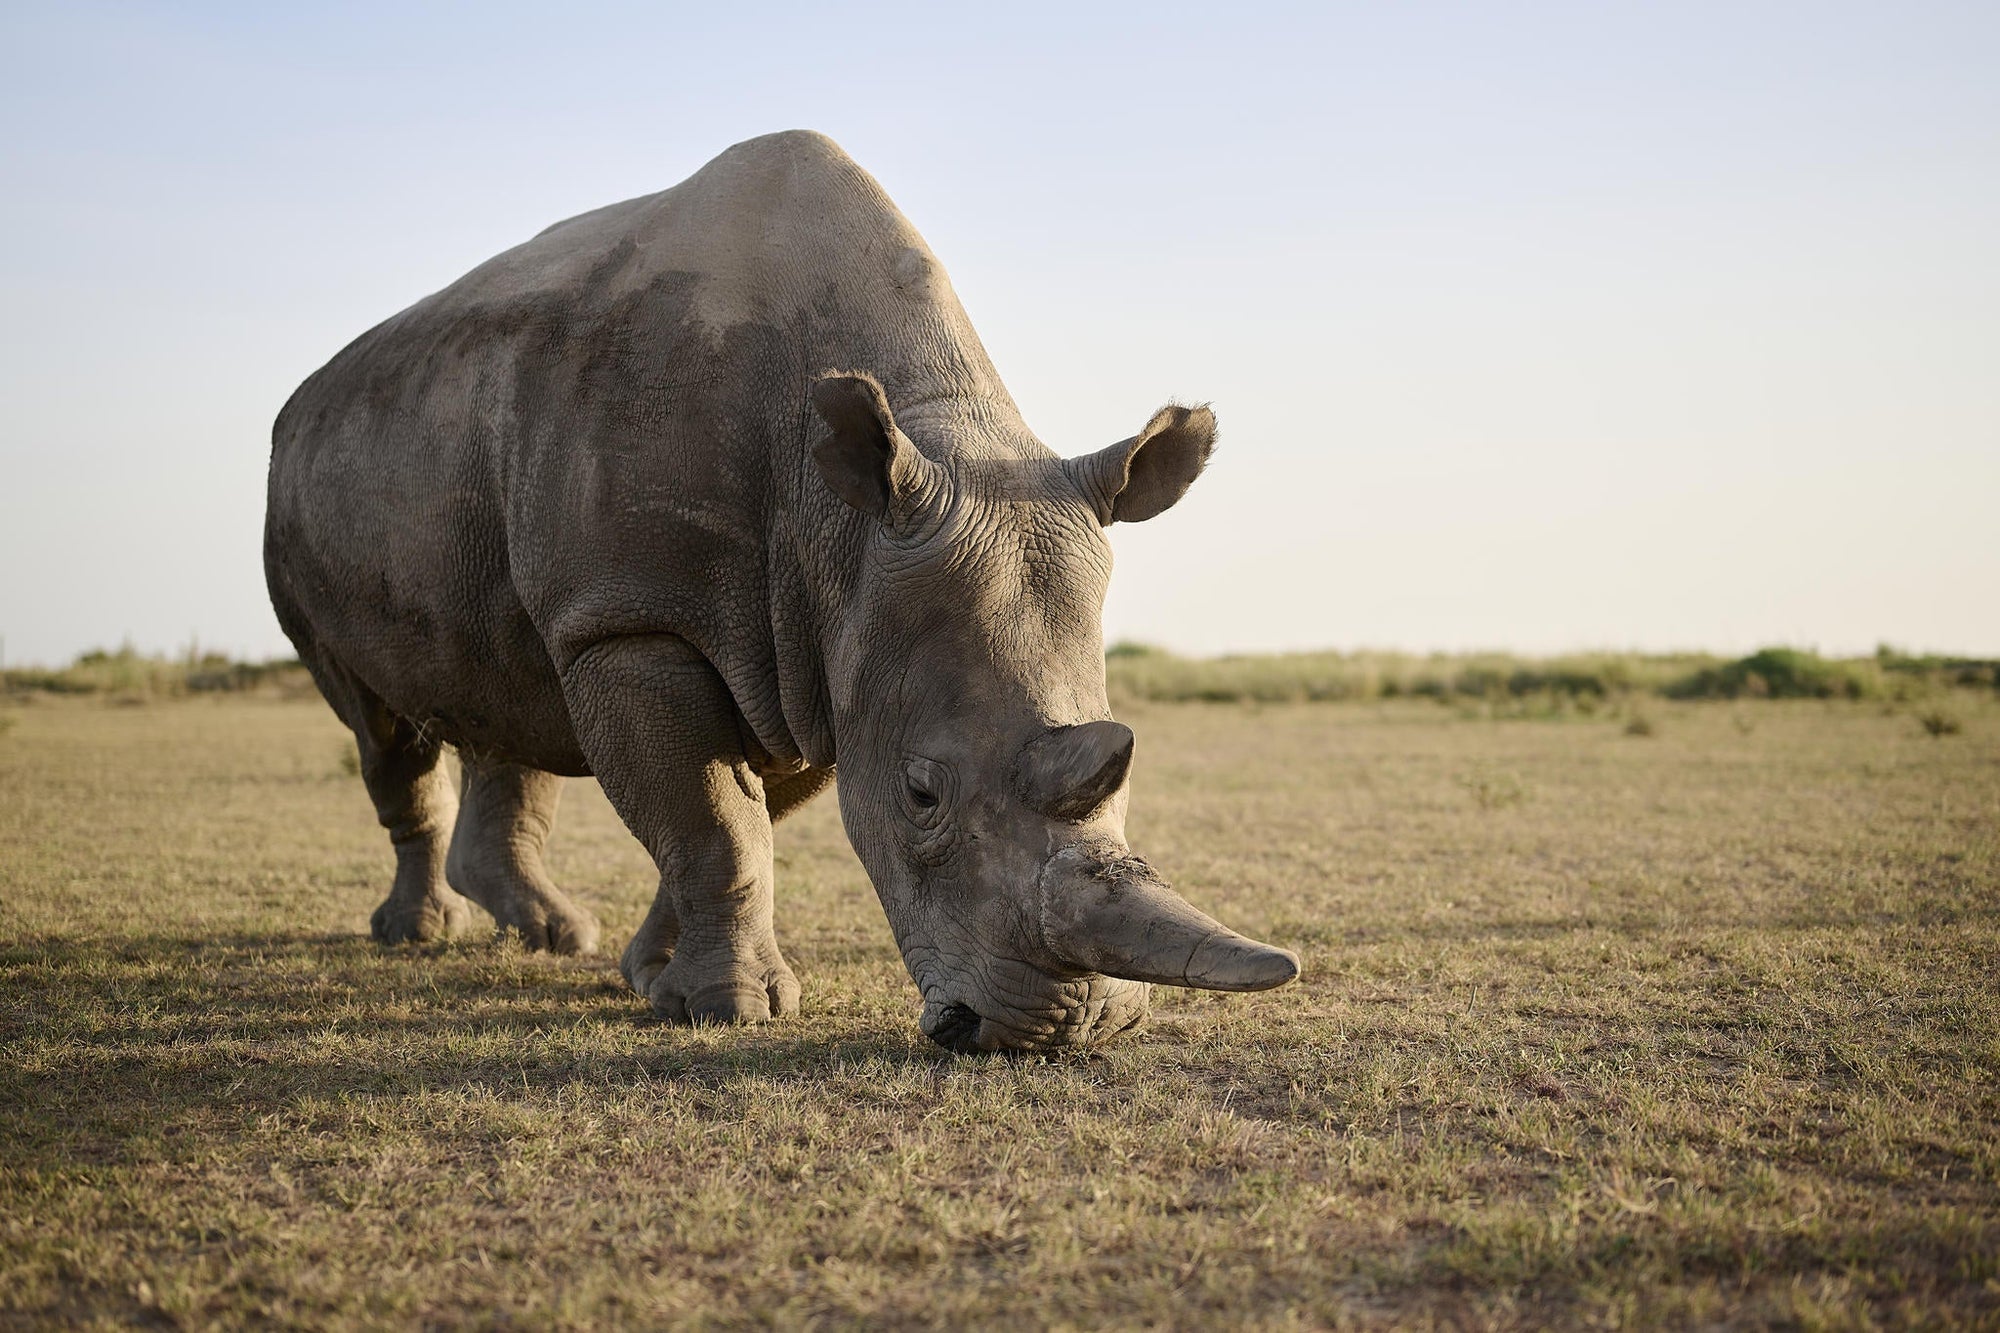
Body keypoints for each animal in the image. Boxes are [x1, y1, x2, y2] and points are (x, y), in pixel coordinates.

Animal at [264, 129, 1299, 1052]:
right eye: (922, 794)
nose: (1061, 1031)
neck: (838, 524)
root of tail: (304, 398)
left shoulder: (813, 647)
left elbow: (723, 813)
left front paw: (657, 978)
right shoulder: (640, 621)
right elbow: (719, 823)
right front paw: (732, 1009)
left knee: (507, 689)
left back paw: (553, 934)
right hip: (306, 495)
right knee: (382, 724)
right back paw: (418, 933)